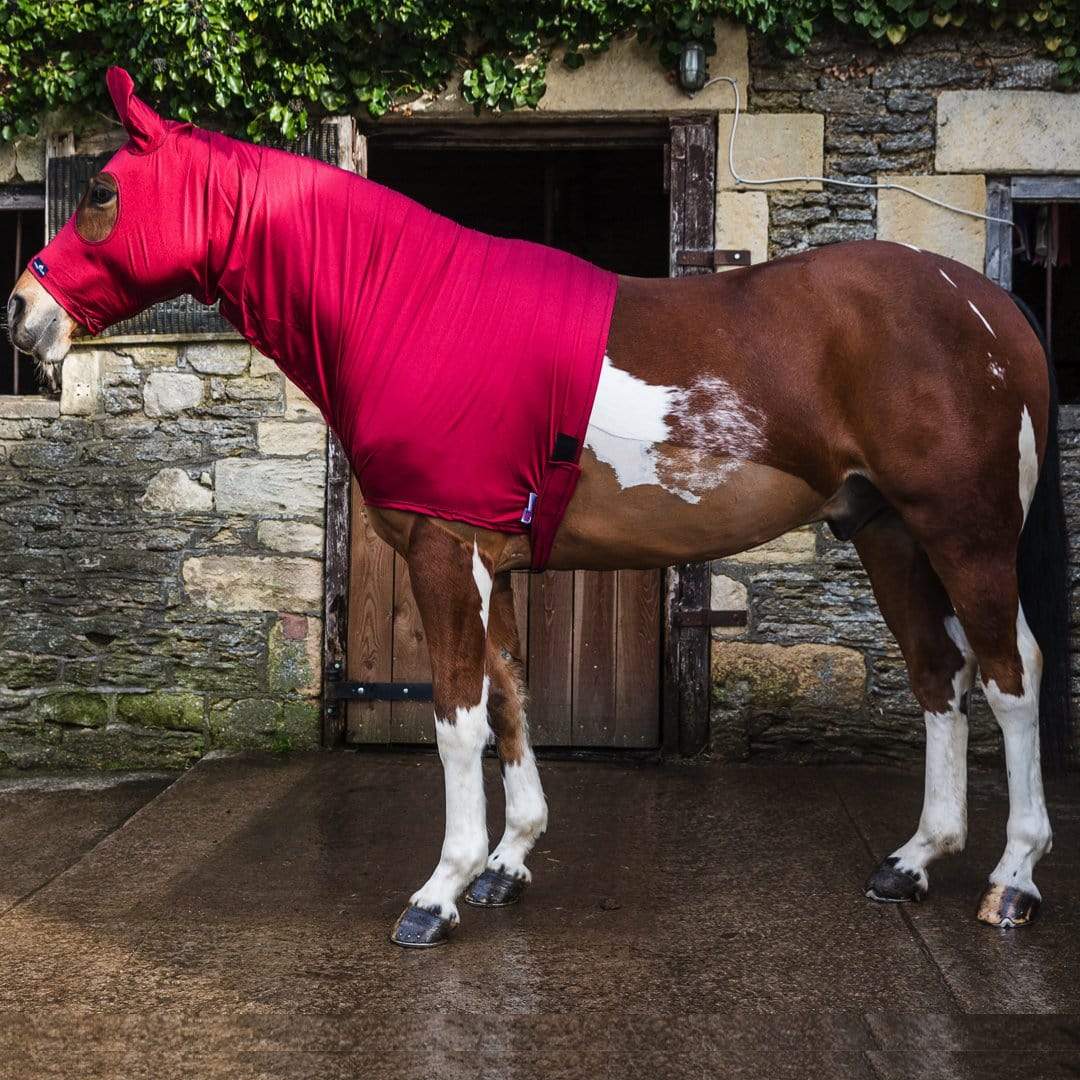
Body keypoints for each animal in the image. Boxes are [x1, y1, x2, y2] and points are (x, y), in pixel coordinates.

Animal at [8, 68, 1069, 948]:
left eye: (101, 191)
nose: (22, 312)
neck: (411, 307)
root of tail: (989, 308)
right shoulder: (494, 563)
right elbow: (514, 696)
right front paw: (508, 863)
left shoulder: (443, 553)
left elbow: (456, 716)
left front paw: (439, 891)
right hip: (887, 533)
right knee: (938, 674)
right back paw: (914, 862)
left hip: (964, 533)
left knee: (1012, 679)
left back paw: (1014, 881)